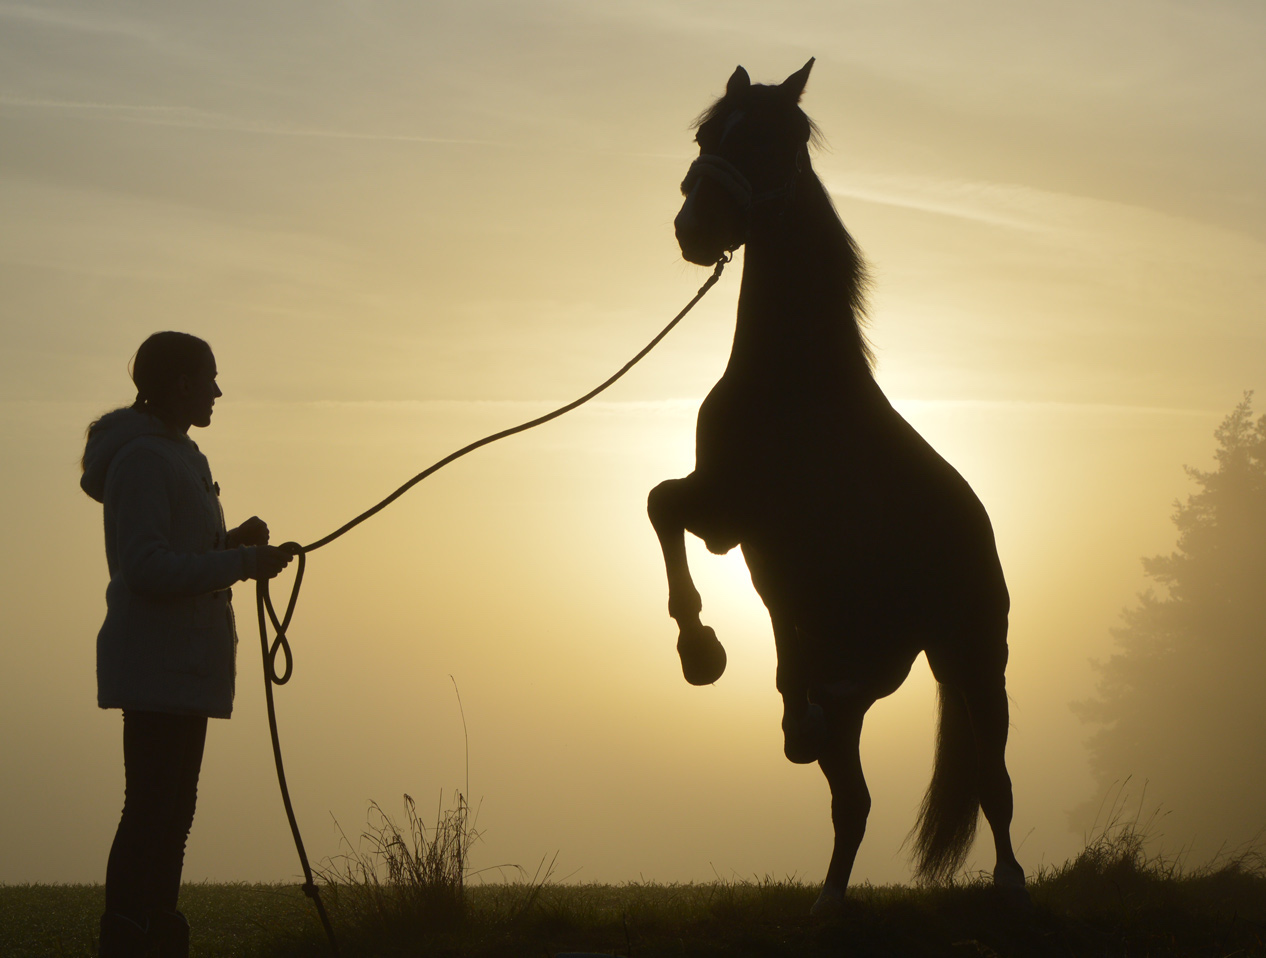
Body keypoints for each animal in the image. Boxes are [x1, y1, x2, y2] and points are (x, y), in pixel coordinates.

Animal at [648, 59, 1022, 911]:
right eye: (707, 134)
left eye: (765, 140)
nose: (694, 228)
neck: (794, 383)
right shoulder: (723, 515)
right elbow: (660, 503)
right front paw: (700, 650)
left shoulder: (754, 520)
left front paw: (702, 650)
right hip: (862, 668)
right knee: (851, 794)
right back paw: (826, 890)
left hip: (972, 661)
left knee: (993, 782)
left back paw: (1013, 887)